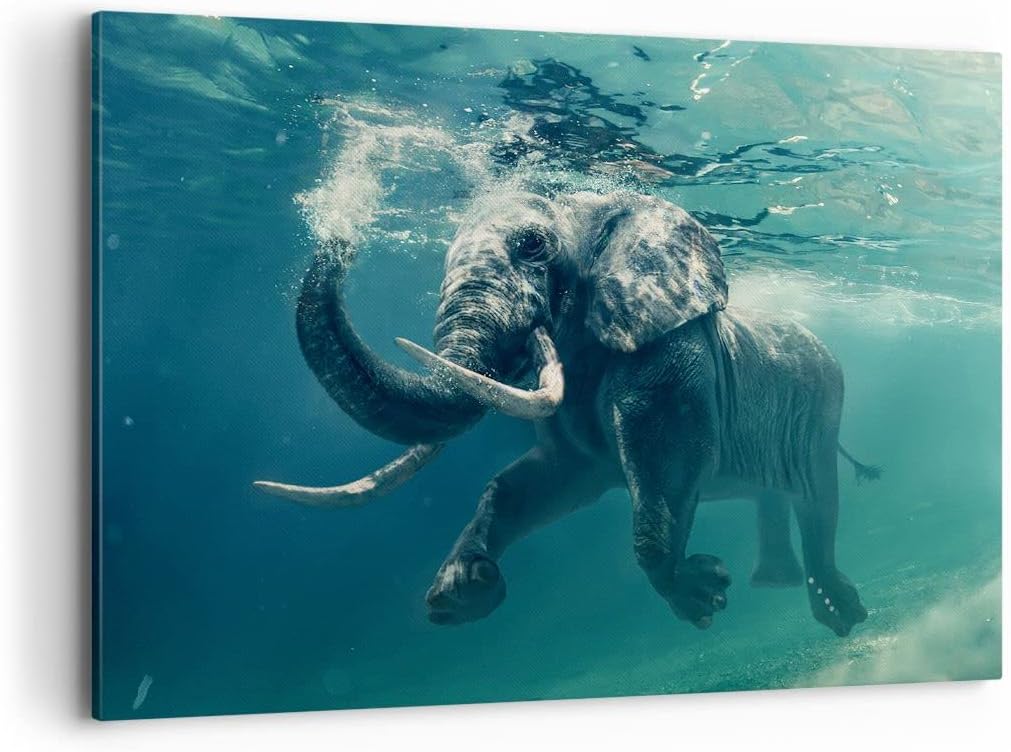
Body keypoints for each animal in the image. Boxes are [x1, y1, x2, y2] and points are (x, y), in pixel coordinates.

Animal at [255, 190, 879, 637]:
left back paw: (838, 613)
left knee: (819, 499)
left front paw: (703, 595)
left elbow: (669, 462)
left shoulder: (669, 354)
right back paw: (776, 584)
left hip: (824, 408)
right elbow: (535, 483)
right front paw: (461, 593)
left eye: (532, 245)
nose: (340, 238)